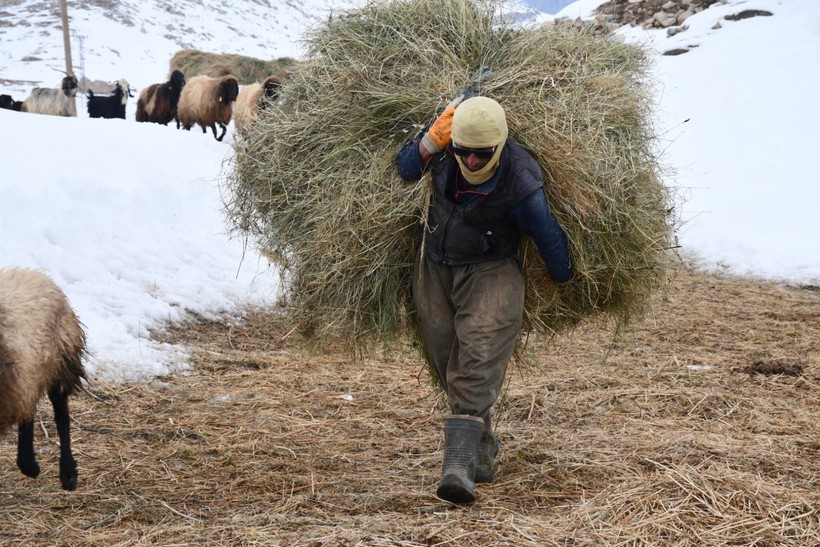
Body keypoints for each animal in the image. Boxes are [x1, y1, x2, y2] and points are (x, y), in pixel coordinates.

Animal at [0, 268, 87, 490]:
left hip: (61, 362)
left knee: (62, 417)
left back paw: (67, 474)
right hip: (29, 373)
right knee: (28, 411)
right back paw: (29, 464)